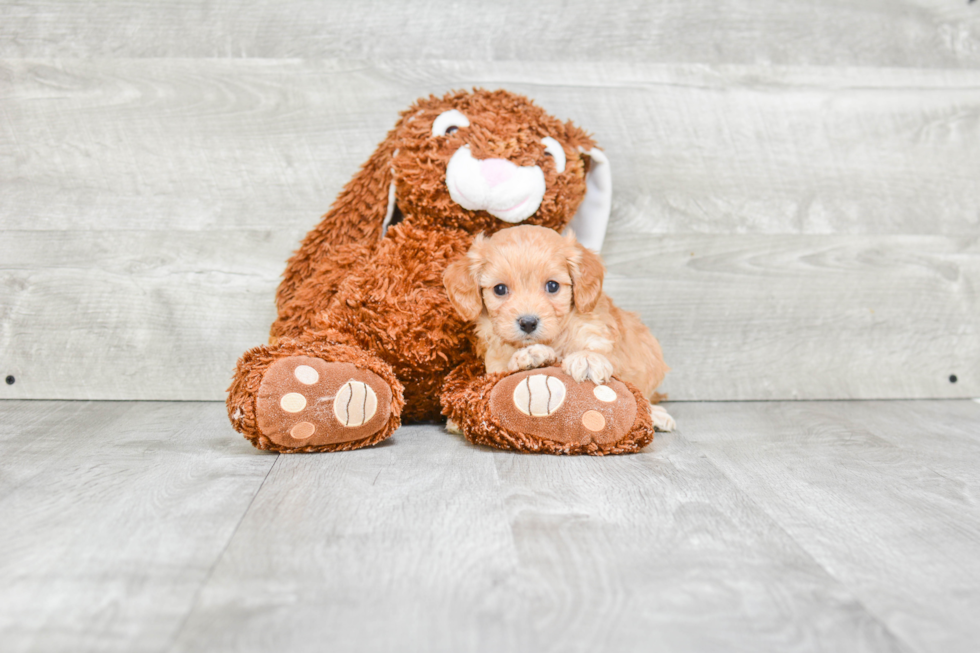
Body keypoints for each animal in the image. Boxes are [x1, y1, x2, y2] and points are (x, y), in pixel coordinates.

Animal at [444, 225, 672, 432]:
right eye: (500, 289)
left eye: (552, 286)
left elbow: (604, 354)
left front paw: (587, 359)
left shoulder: (599, 332)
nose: (528, 322)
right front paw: (529, 355)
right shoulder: (494, 363)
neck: (553, 339)